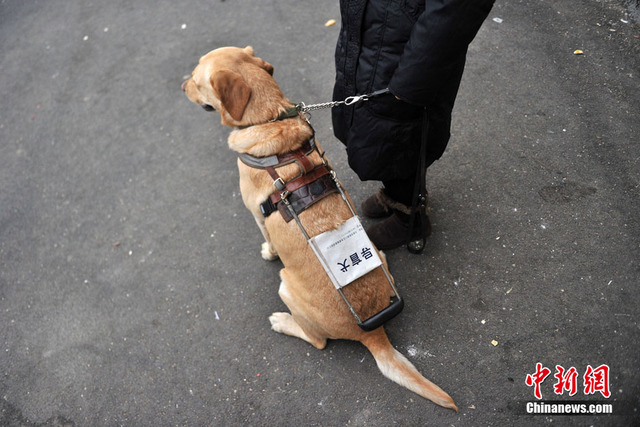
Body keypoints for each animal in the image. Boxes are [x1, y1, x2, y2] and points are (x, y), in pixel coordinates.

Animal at [182, 46, 458, 412]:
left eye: (196, 80)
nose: (182, 85)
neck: (270, 118)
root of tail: (372, 332)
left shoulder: (256, 215)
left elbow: (267, 239)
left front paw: (268, 251)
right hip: (380, 259)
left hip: (286, 287)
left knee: (317, 341)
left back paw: (283, 322)